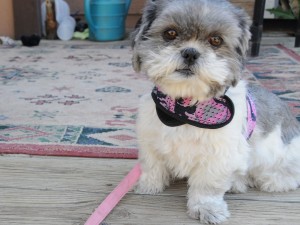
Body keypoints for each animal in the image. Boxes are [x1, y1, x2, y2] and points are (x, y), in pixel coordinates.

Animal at [131, 0, 300, 223]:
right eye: (170, 33)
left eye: (216, 40)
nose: (190, 52)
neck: (185, 108)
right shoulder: (151, 141)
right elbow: (152, 166)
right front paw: (149, 185)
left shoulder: (219, 156)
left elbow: (207, 186)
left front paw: (206, 208)